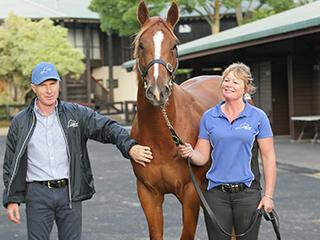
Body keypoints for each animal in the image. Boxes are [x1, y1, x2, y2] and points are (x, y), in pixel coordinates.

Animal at [129, 0, 224, 239]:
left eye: (174, 45)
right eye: (141, 45)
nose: (157, 91)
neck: (163, 139)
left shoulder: (191, 194)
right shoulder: (148, 194)